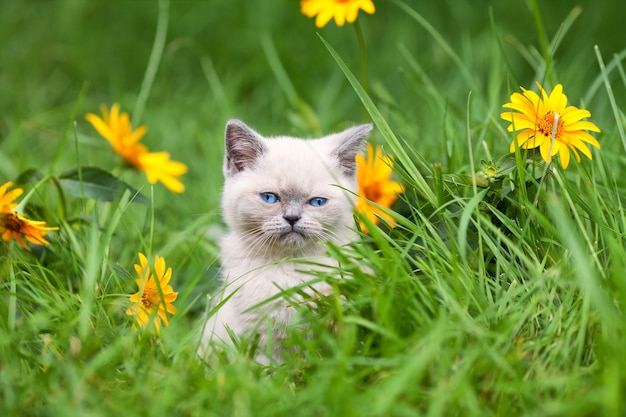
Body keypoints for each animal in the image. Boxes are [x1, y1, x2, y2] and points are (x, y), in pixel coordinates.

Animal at [197, 118, 368, 362]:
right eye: (270, 198)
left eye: (317, 202)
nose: (292, 218)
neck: (290, 267)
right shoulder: (258, 338)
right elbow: (268, 370)